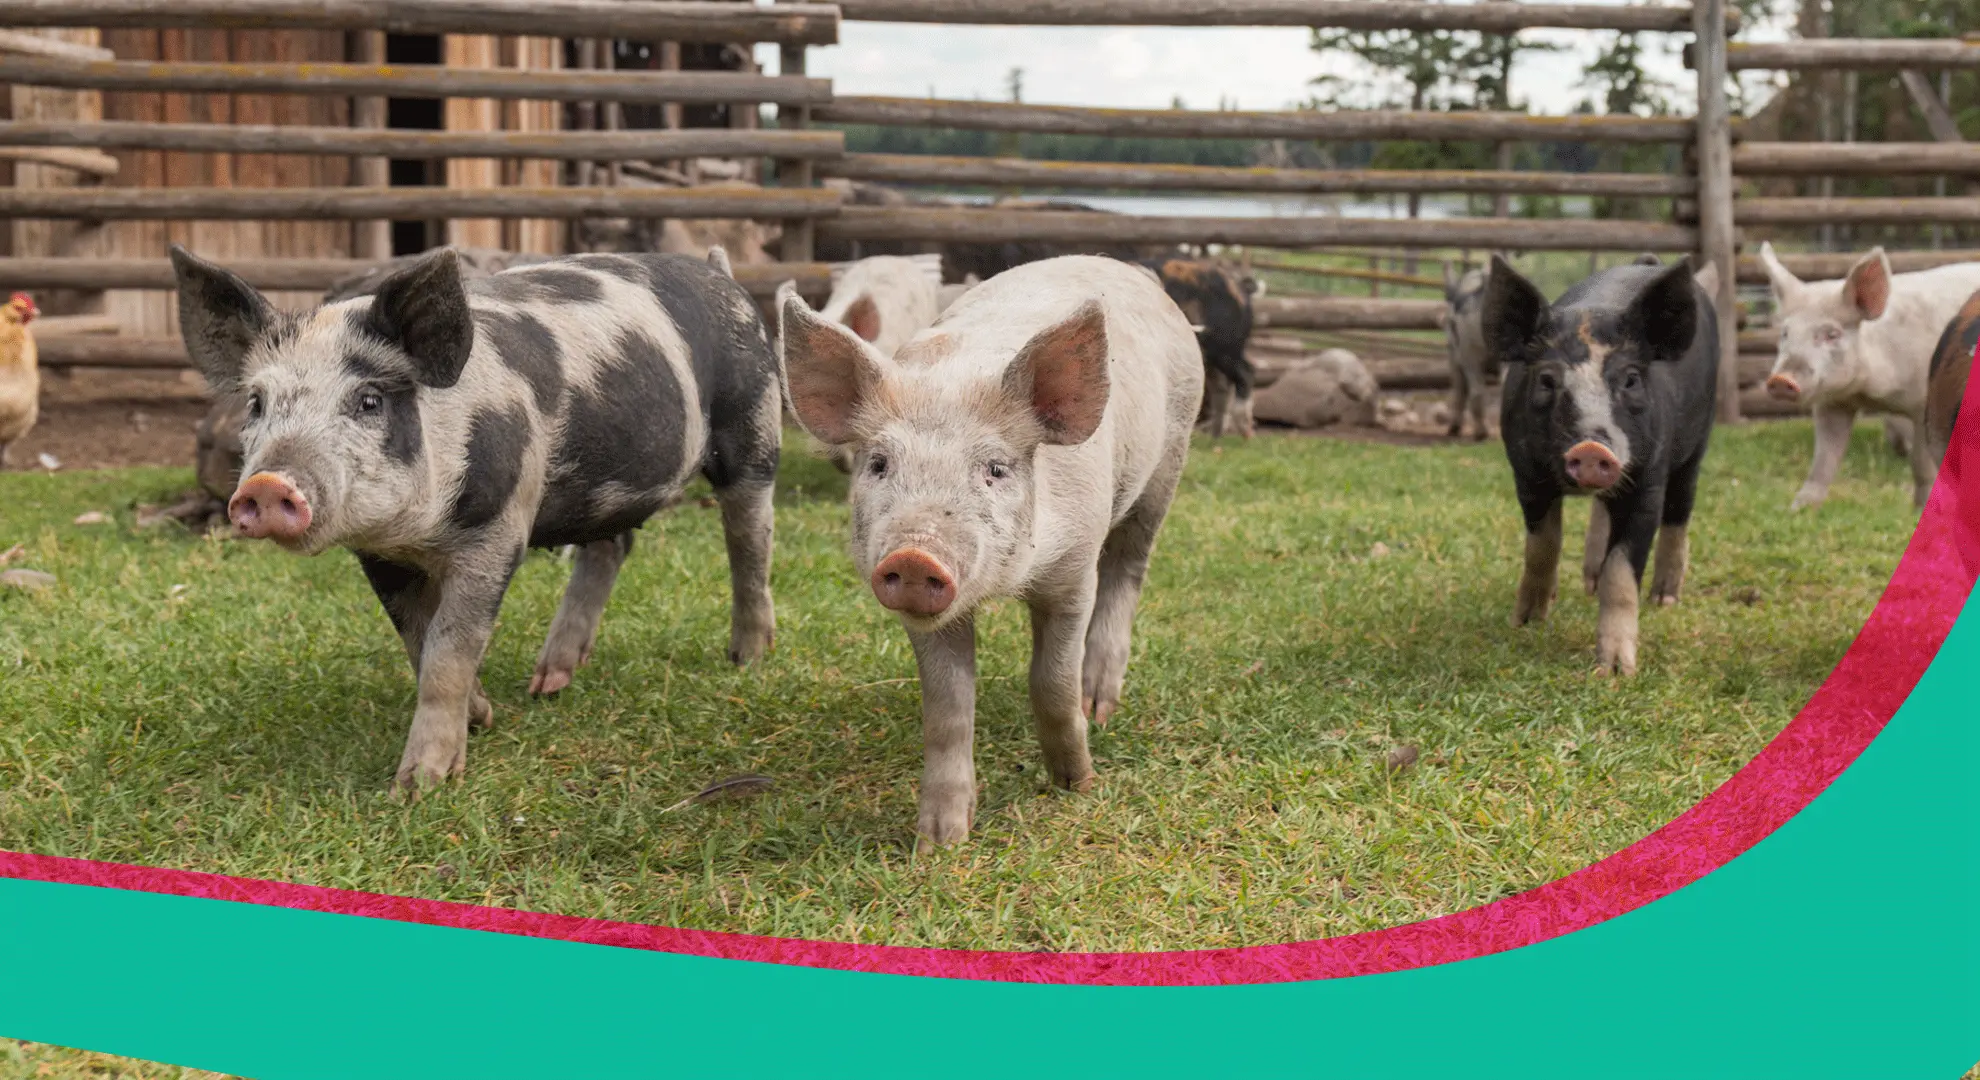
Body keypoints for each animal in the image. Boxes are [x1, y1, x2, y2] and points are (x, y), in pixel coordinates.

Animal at [170, 243, 780, 794]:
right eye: (256, 404)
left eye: (369, 401)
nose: (268, 486)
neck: (421, 532)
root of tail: (721, 275)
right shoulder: (378, 554)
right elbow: (417, 640)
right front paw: (482, 717)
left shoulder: (498, 530)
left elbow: (448, 648)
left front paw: (419, 787)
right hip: (602, 487)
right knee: (612, 547)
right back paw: (549, 683)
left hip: (754, 427)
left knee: (749, 538)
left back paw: (747, 660)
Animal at [777, 255, 1202, 847]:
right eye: (880, 463)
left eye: (995, 469)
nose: (915, 555)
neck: (1006, 586)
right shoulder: (928, 616)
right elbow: (948, 708)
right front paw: (940, 841)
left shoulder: (1073, 573)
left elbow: (1051, 682)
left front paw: (1078, 784)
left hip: (1169, 461)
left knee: (1130, 566)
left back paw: (1100, 707)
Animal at [1137, 257, 1258, 437]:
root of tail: (1239, 288)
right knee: (1222, 387)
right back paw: (1214, 436)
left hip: (1224, 345)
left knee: (1246, 372)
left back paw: (1244, 432)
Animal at [1441, 262, 1494, 440]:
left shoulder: (1454, 355)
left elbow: (1458, 387)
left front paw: (1453, 429)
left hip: (1468, 350)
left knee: (1475, 390)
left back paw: (1481, 434)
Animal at [1482, 254, 1718, 677]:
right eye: (1547, 379)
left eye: (1631, 379)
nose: (1593, 448)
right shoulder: (1527, 476)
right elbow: (1542, 546)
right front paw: (1526, 623)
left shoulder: (1646, 483)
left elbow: (1621, 572)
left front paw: (1616, 672)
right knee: (1601, 511)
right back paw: (1587, 583)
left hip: (1697, 442)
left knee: (1680, 511)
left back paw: (1664, 599)